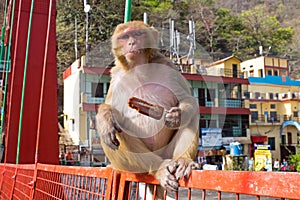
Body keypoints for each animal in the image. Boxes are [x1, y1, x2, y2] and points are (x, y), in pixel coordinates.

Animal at [96, 20, 199, 195]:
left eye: (138, 34)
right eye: (124, 37)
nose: (132, 43)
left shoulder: (168, 66)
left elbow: (188, 99)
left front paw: (177, 116)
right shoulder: (117, 76)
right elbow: (109, 107)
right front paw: (105, 119)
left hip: (167, 152)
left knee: (192, 116)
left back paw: (183, 160)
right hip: (132, 167)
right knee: (117, 128)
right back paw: (159, 167)